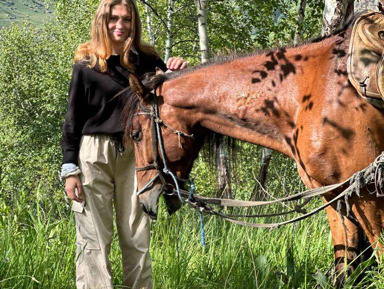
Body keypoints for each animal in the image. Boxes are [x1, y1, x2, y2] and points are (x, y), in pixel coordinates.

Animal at [123, 25, 384, 280]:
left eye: (136, 134)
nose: (143, 198)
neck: (307, 91)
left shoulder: (368, 193)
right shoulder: (333, 193)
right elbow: (345, 263)